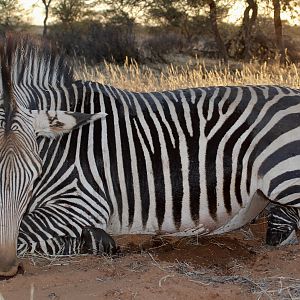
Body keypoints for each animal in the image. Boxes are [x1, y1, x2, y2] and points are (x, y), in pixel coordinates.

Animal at [0, 35, 300, 276]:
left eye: (35, 174)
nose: (8, 268)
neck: (59, 148)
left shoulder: (84, 200)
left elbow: (25, 230)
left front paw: (93, 241)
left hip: (283, 177)